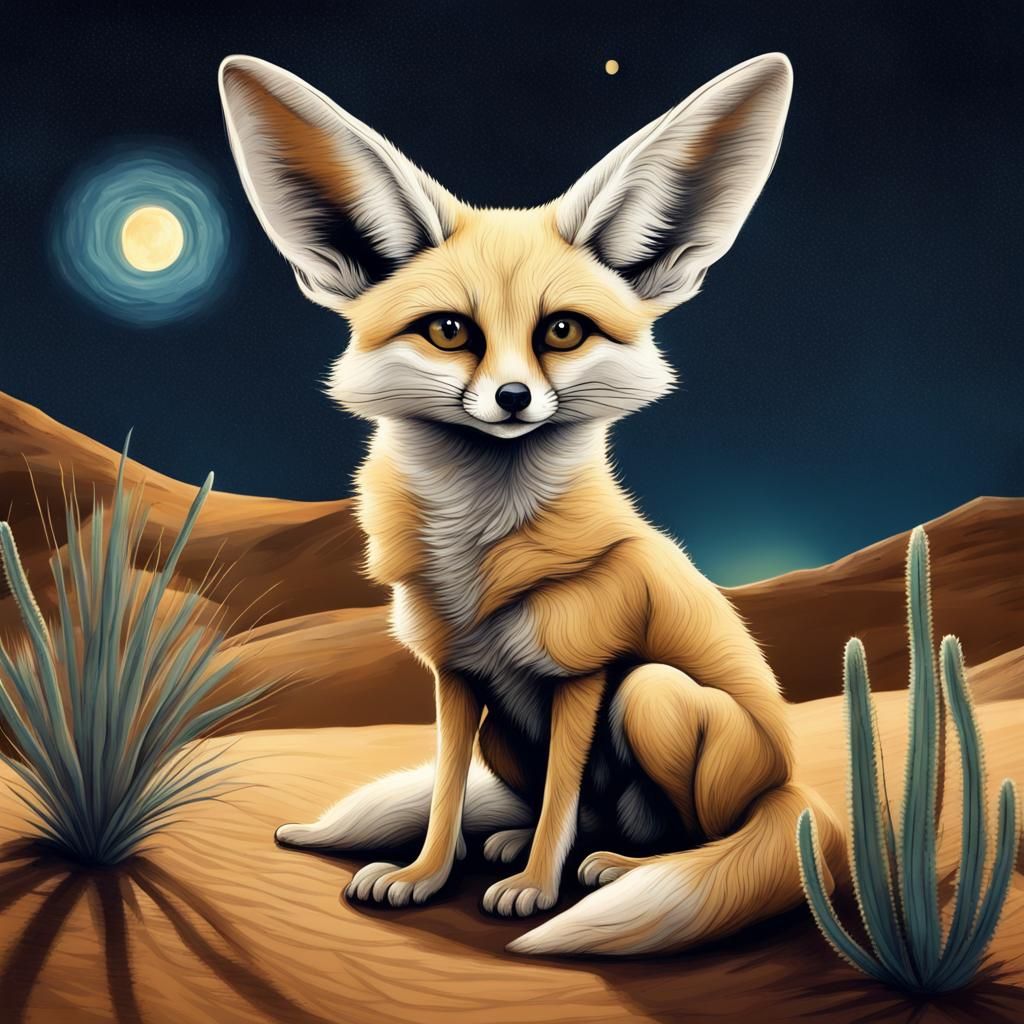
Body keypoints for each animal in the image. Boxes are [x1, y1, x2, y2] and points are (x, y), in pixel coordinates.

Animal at [218, 51, 846, 956]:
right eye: (450, 331)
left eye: (561, 332)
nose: (513, 399)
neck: (481, 561)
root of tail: (792, 788)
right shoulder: (454, 677)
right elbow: (451, 795)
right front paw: (424, 874)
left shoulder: (583, 676)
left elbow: (559, 806)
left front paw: (536, 890)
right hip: (512, 733)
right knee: (561, 808)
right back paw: (519, 842)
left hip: (652, 695)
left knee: (680, 832)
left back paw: (618, 866)